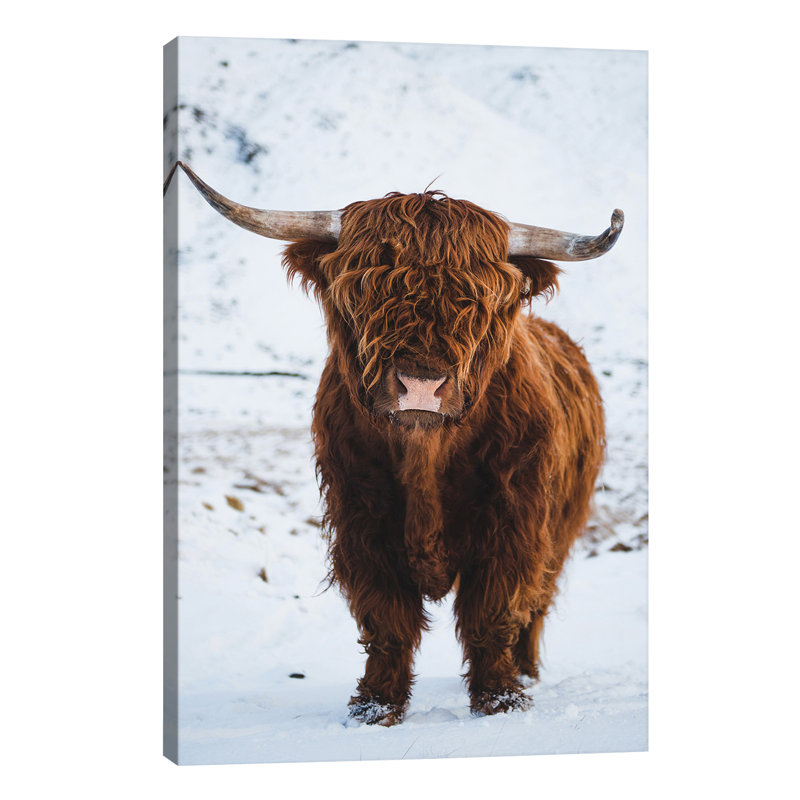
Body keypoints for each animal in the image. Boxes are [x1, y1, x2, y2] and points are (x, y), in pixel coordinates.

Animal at [165, 161, 623, 726]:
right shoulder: (361, 519)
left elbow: (493, 611)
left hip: (561, 529)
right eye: (364, 290)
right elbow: (386, 619)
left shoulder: (514, 522)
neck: (425, 455)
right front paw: (375, 704)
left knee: (537, 604)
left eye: (480, 299)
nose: (421, 385)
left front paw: (499, 699)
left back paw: (527, 673)